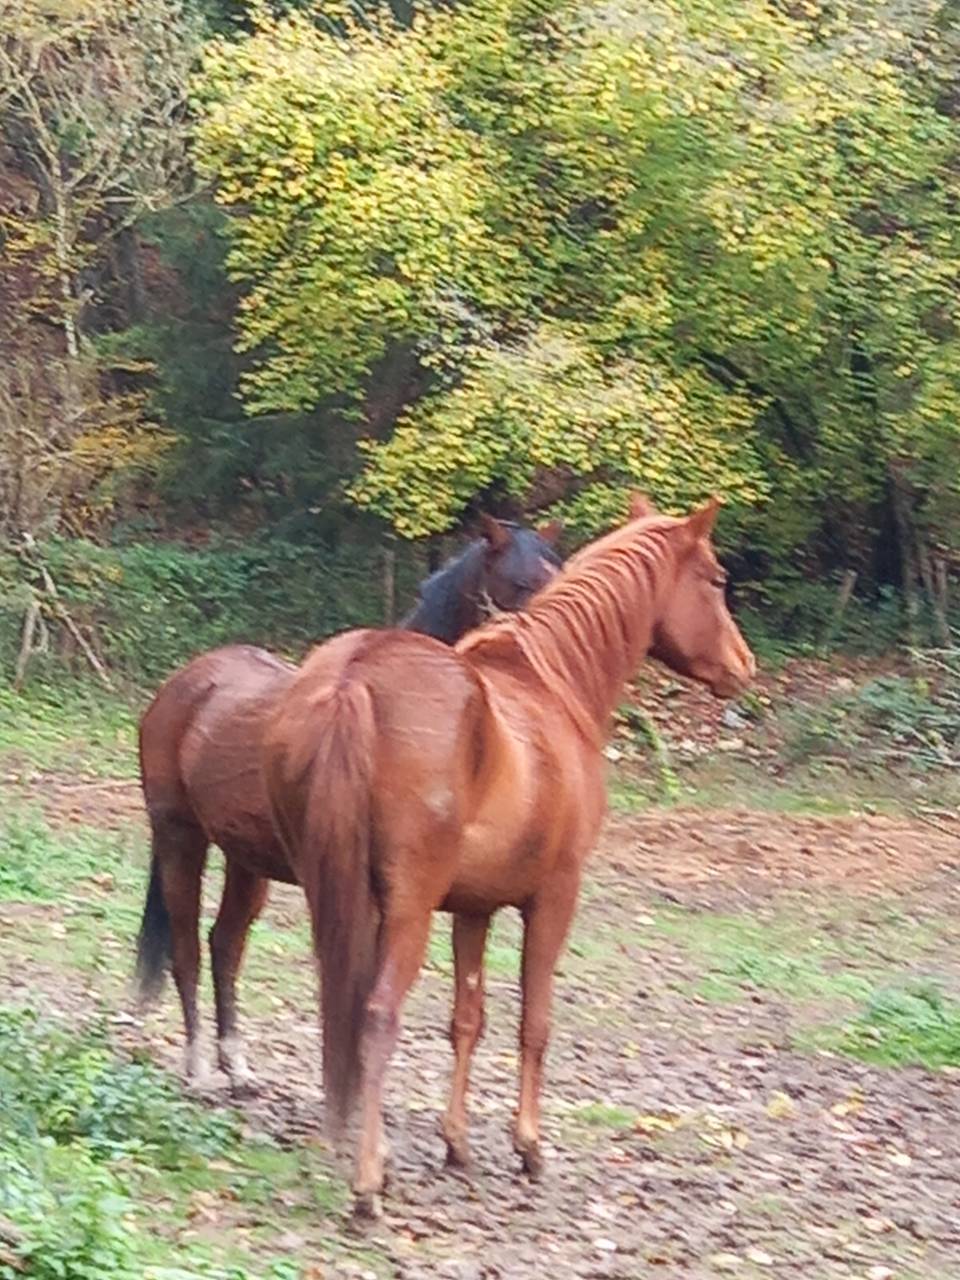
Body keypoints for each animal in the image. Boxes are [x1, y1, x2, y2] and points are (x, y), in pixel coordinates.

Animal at [134, 516, 562, 1095]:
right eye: (519, 582)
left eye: (556, 569)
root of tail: (186, 682)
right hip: (180, 837)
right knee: (187, 949)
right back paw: (199, 1068)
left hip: (247, 861)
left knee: (225, 945)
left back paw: (237, 1065)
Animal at [261, 494, 756, 1217]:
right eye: (717, 579)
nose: (743, 667)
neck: (552, 684)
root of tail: (357, 679)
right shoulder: (553, 897)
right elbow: (535, 1021)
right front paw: (529, 1146)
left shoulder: (474, 909)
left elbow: (467, 1019)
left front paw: (457, 1142)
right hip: (405, 912)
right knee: (377, 1017)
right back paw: (368, 1182)